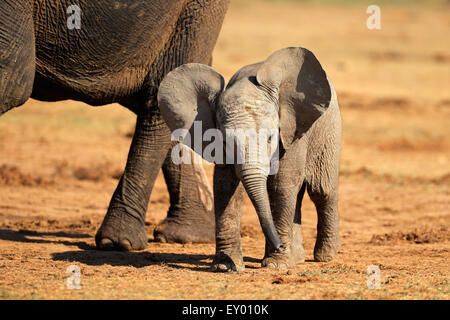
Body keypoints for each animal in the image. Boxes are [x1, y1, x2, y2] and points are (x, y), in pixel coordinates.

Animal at [157, 47, 342, 272]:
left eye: (271, 137)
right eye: (226, 141)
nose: (280, 245)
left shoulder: (290, 131)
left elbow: (281, 184)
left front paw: (276, 266)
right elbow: (226, 186)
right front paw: (225, 266)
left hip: (329, 129)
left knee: (320, 190)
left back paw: (325, 256)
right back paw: (297, 258)